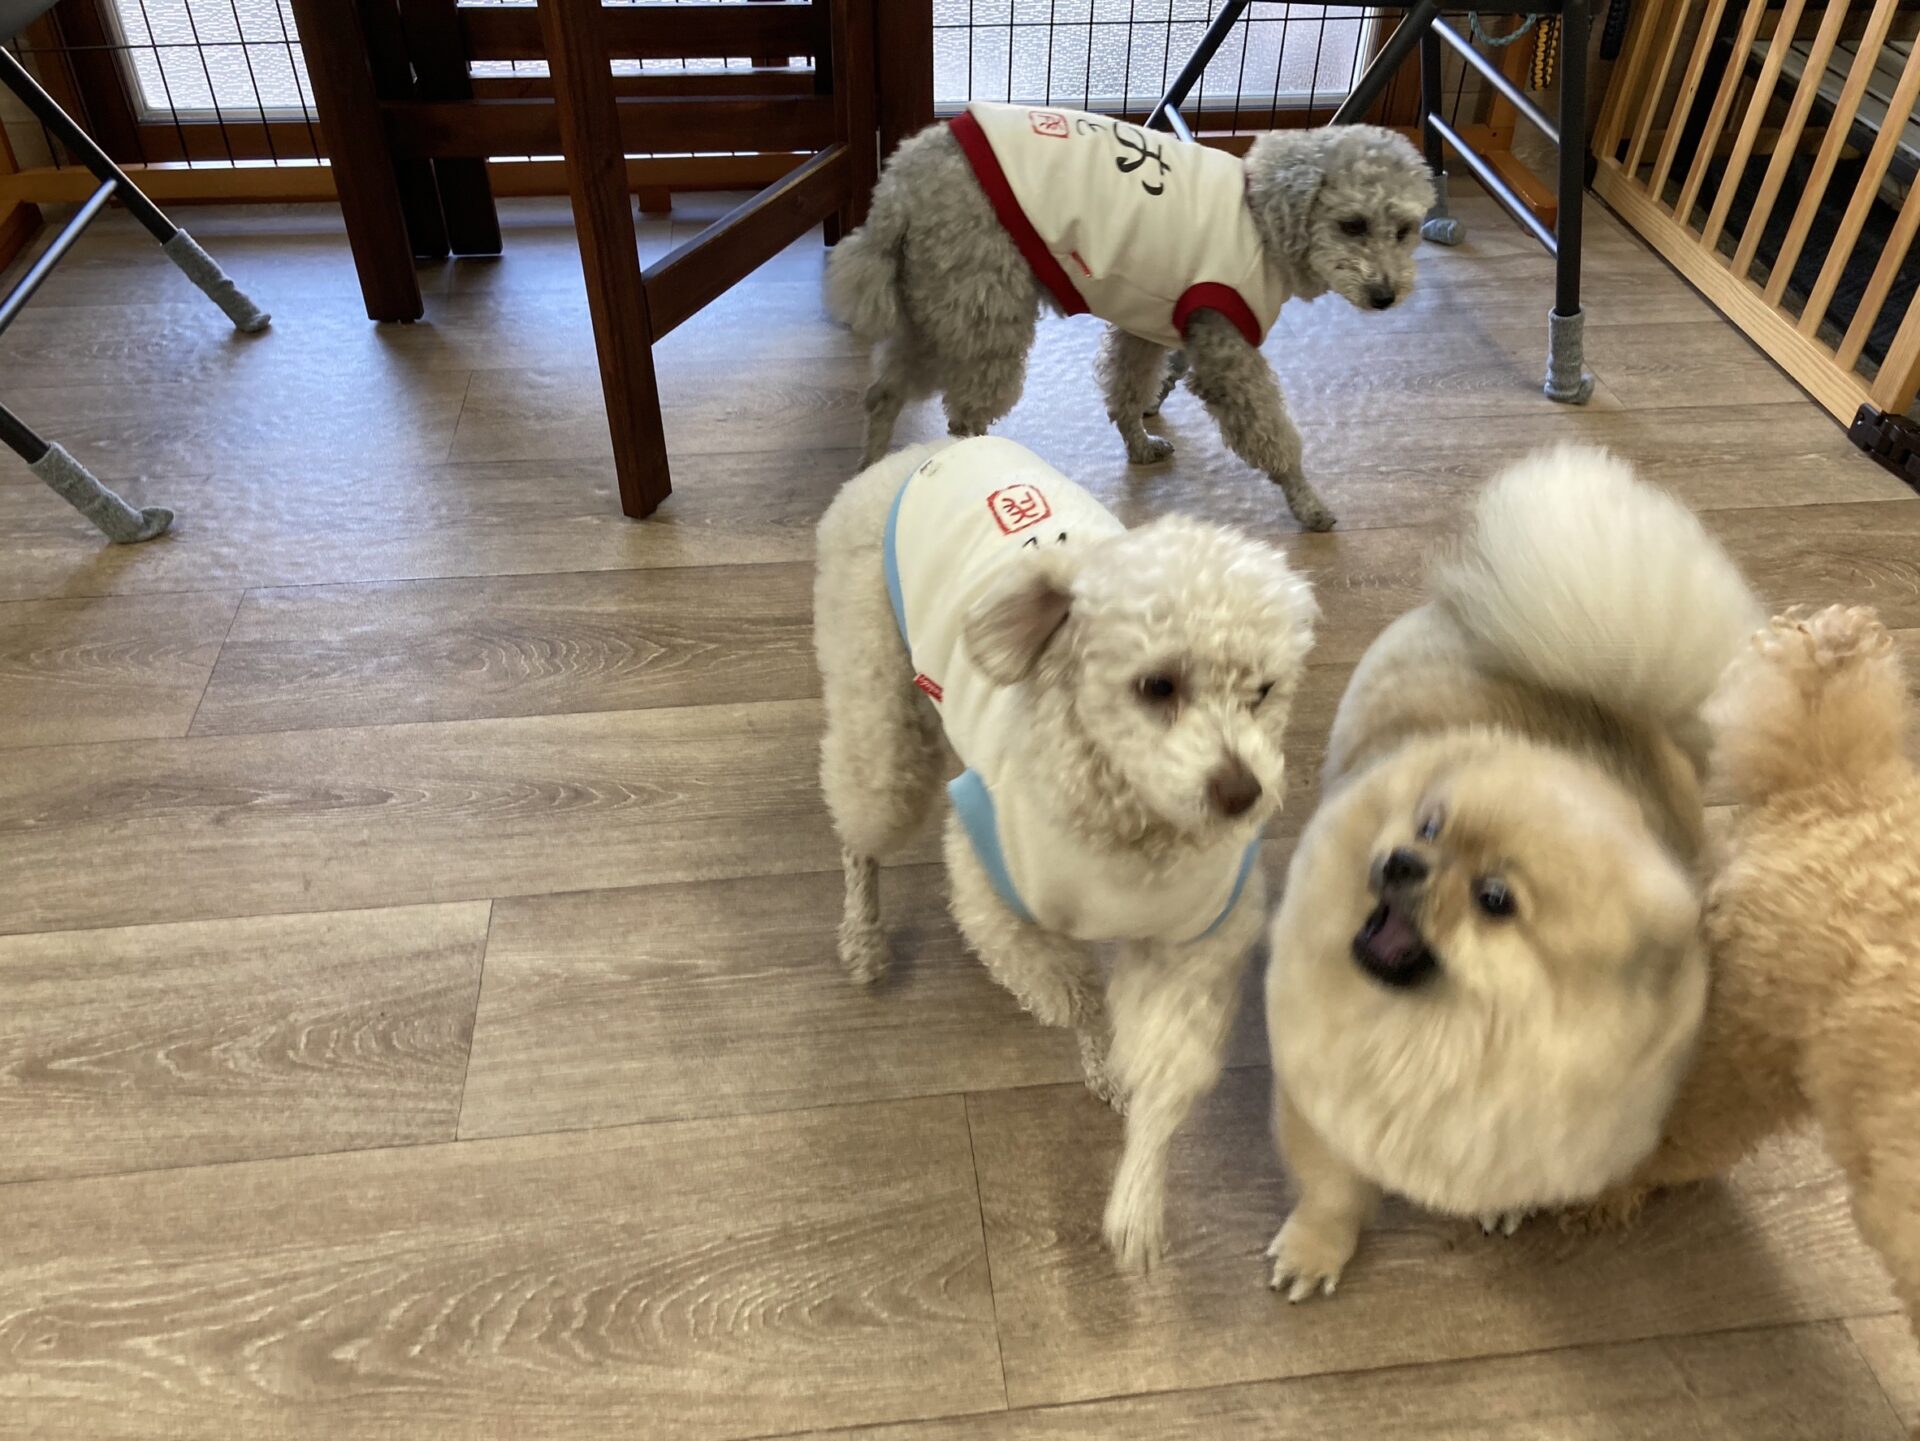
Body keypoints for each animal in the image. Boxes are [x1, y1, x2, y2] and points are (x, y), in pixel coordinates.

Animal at [815, 435, 1317, 1269]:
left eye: (1263, 691)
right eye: (1157, 686)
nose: (1242, 793)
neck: (1133, 829)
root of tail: (928, 450)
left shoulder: (1194, 941)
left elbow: (1168, 1062)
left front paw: (1137, 1194)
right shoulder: (996, 895)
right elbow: (1075, 993)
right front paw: (1102, 1059)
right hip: (880, 719)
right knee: (861, 834)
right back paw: (861, 939)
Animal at [825, 105, 1435, 532]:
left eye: (1405, 231)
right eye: (1352, 225)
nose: (1386, 295)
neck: (1262, 217)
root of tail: (900, 183)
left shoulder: (1147, 324)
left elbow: (1128, 388)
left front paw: (1139, 445)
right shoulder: (1225, 347)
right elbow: (1272, 434)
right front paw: (1307, 503)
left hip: (931, 305)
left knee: (883, 393)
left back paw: (867, 471)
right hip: (983, 306)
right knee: (963, 417)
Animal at [1260, 444, 1761, 1300]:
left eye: (1495, 898)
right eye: (1429, 823)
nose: (1401, 860)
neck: (1438, 1040)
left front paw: (1504, 1207)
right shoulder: (1320, 1097)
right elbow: (1331, 1187)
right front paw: (1314, 1250)